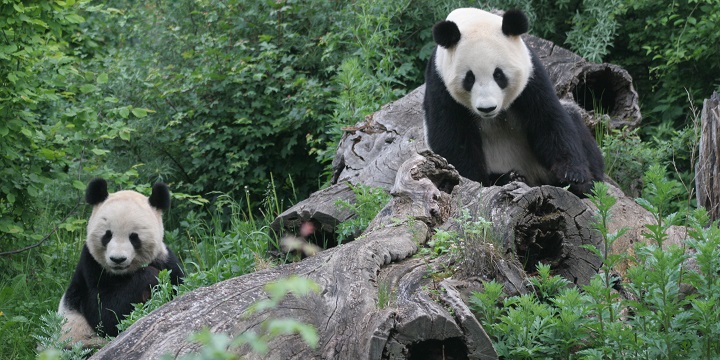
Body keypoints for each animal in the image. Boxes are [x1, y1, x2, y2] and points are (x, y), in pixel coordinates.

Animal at [58, 179, 184, 348]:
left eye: (134, 237)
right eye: (107, 235)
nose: (118, 259)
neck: (122, 273)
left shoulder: (164, 259)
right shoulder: (92, 267)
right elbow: (106, 313)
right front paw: (151, 276)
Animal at [424, 7, 604, 195]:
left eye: (498, 75)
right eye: (469, 78)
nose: (487, 108)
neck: (470, 18)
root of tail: (535, 179)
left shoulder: (531, 73)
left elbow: (547, 118)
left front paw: (573, 174)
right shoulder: (439, 82)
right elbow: (452, 138)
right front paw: (474, 181)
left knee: (573, 118)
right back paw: (509, 177)